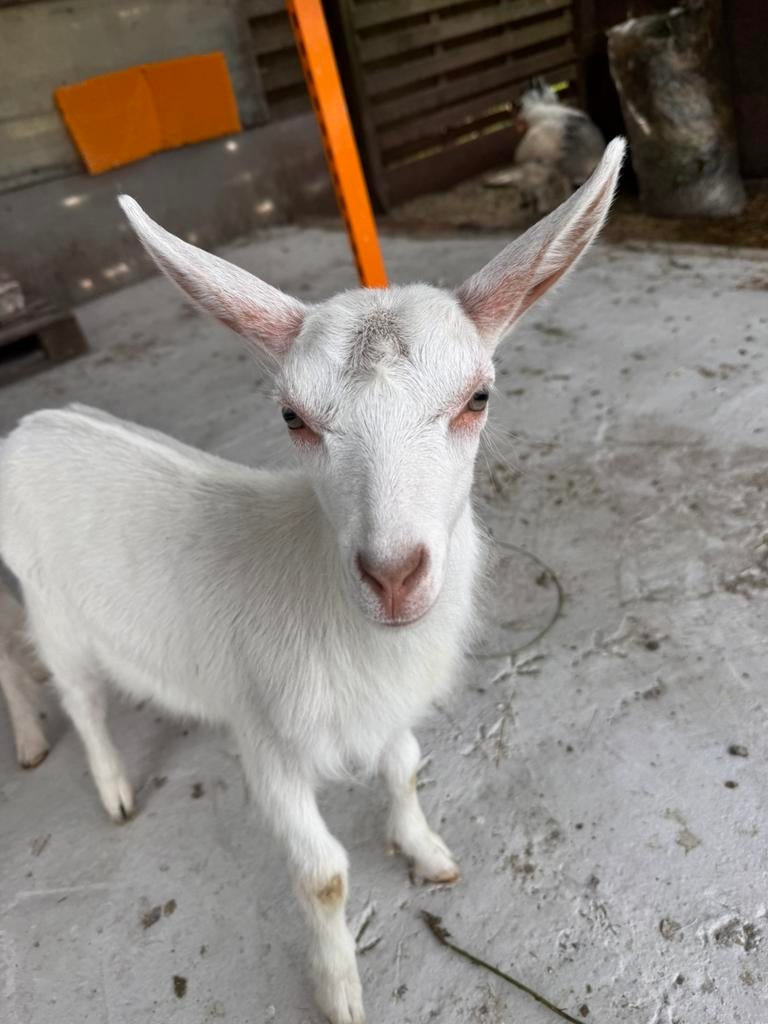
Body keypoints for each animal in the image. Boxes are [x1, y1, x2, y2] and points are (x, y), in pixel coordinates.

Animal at [0, 139, 624, 1024]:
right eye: (293, 418)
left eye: (478, 397)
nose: (393, 576)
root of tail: (29, 424)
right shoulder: (265, 737)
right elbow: (322, 873)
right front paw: (339, 990)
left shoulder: (387, 703)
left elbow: (405, 767)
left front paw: (426, 852)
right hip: (55, 608)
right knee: (78, 697)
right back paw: (110, 788)